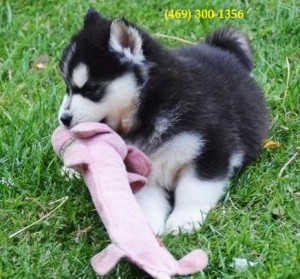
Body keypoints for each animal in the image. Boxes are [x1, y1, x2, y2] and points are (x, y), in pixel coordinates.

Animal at [57, 9, 268, 236]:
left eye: (91, 89)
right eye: (67, 87)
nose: (64, 119)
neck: (150, 107)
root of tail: (218, 49)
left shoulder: (213, 146)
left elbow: (194, 188)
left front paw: (184, 220)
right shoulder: (140, 166)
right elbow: (147, 198)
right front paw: (146, 226)